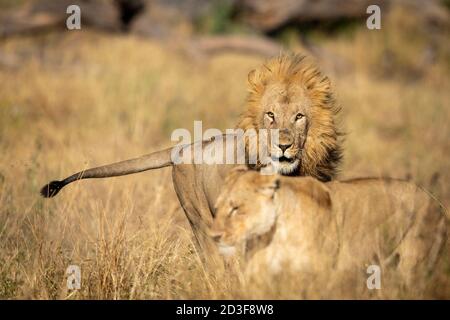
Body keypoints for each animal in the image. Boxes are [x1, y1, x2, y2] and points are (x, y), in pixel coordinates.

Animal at [211, 169, 446, 298]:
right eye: (217, 207)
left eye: (235, 208)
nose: (214, 236)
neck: (277, 234)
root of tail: (434, 199)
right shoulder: (257, 276)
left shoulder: (321, 275)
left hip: (413, 265)